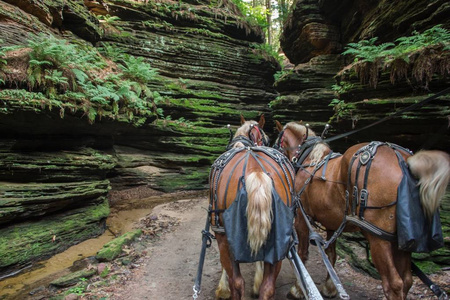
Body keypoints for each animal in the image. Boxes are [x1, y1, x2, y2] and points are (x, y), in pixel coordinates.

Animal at [210, 114, 298, 298]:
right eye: (267, 138)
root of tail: (256, 170)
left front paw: (222, 289)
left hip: (224, 237)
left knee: (237, 282)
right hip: (279, 241)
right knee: (268, 286)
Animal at [272, 120, 448, 300]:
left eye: (279, 140)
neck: (310, 160)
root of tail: (403, 160)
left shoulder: (302, 217)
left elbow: (302, 254)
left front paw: (298, 289)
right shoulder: (332, 222)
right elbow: (331, 254)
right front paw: (330, 287)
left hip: (378, 239)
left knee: (394, 284)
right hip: (400, 241)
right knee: (406, 280)